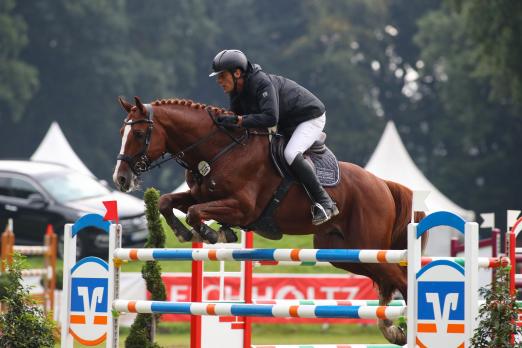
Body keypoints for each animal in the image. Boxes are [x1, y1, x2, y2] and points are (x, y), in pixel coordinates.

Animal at [112, 96, 422, 346]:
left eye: (138, 133)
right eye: (121, 132)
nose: (121, 179)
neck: (218, 150)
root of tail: (383, 184)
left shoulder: (242, 208)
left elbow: (196, 212)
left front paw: (212, 234)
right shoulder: (200, 195)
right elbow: (168, 202)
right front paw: (189, 233)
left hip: (369, 246)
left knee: (400, 279)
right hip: (346, 253)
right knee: (386, 281)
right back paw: (392, 330)